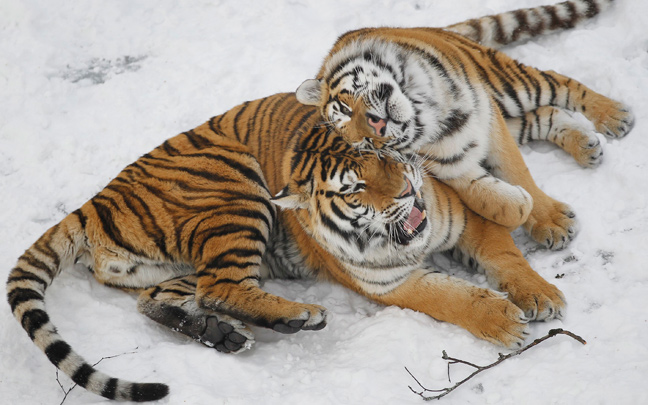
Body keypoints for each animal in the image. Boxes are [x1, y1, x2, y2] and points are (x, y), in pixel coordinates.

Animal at [296, 0, 636, 249]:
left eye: (345, 108)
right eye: (366, 144)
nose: (377, 128)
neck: (426, 116)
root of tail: (429, 29)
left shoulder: (488, 116)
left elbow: (516, 170)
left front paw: (550, 221)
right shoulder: (448, 164)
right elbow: (484, 197)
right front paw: (520, 207)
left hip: (508, 86)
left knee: (559, 84)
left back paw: (614, 116)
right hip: (511, 113)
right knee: (544, 114)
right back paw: (586, 146)